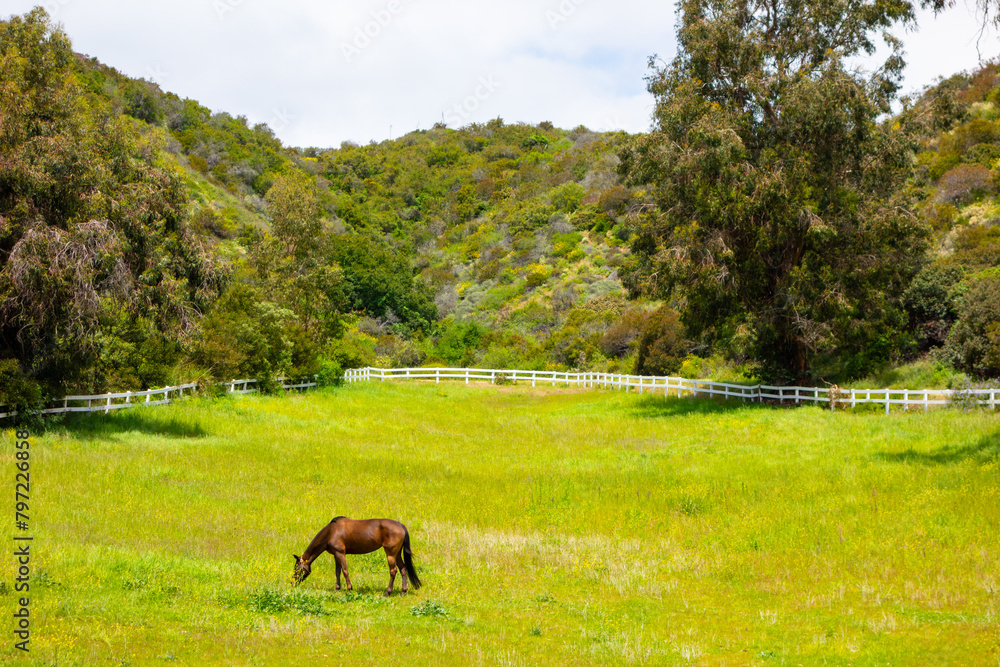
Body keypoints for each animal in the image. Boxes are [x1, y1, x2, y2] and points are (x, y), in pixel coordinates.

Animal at [292, 516, 421, 596]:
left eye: (297, 569)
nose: (292, 583)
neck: (331, 532)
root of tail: (401, 526)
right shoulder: (336, 554)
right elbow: (337, 571)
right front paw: (337, 588)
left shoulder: (340, 553)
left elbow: (345, 571)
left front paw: (349, 589)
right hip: (397, 553)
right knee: (403, 569)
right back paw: (403, 592)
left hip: (391, 553)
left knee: (393, 571)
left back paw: (388, 592)